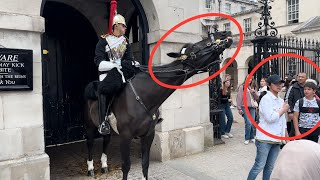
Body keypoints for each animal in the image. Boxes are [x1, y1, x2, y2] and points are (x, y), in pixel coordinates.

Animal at [83, 31, 232, 179]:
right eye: (195, 47)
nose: (224, 33)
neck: (144, 97)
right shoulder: (125, 136)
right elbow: (126, 166)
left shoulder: (148, 135)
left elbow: (145, 164)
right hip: (90, 125)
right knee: (90, 143)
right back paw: (91, 168)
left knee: (106, 140)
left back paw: (104, 165)